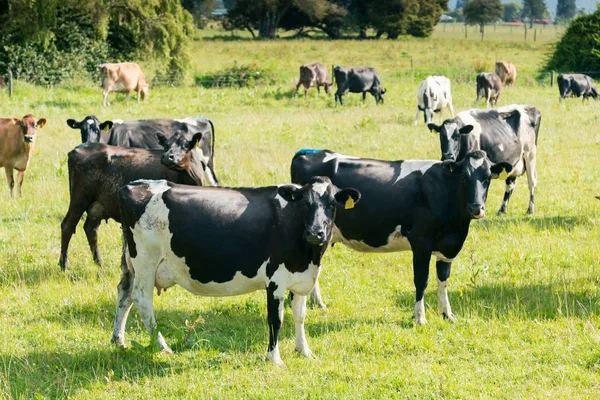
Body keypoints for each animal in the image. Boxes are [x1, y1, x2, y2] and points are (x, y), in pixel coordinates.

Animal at [59, 141, 206, 272]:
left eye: (185, 146)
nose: (168, 158)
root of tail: (79, 148)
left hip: (97, 207)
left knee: (91, 229)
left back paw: (99, 263)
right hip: (80, 199)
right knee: (67, 226)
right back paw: (63, 266)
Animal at [111, 177, 360, 366]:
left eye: (332, 204)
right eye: (305, 204)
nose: (315, 233)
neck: (309, 257)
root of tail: (135, 184)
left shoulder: (301, 279)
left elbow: (300, 316)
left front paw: (304, 351)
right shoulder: (276, 279)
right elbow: (276, 319)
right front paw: (274, 359)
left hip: (131, 264)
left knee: (124, 295)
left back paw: (119, 341)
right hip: (146, 260)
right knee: (142, 300)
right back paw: (163, 347)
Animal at [290, 149, 510, 322]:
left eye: (488, 178)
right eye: (464, 177)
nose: (476, 208)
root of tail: (308, 152)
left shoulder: (448, 245)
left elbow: (443, 278)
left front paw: (447, 314)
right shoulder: (421, 242)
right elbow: (422, 279)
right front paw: (419, 317)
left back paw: (318, 302)